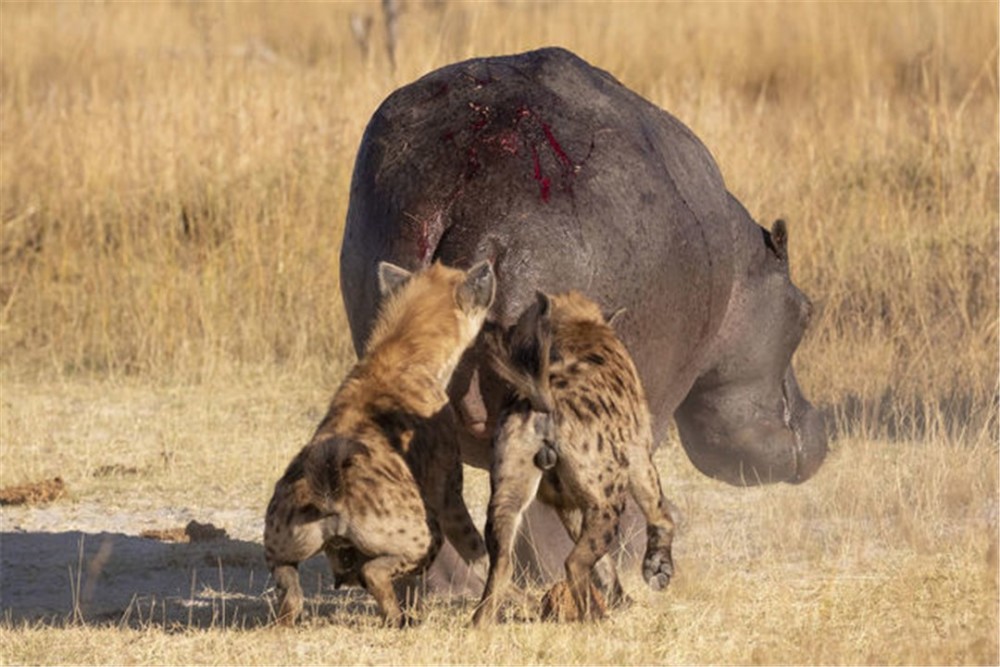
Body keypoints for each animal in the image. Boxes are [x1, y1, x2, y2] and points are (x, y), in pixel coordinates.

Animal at [266, 260, 496, 628]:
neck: (404, 350)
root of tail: (331, 492)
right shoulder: (446, 492)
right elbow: (476, 547)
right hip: (422, 531)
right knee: (376, 571)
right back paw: (397, 619)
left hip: (280, 543)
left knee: (288, 587)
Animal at [472, 292, 676, 628]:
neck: (578, 327)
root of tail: (544, 401)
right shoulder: (637, 451)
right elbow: (659, 510)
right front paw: (658, 570)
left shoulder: (566, 502)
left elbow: (603, 560)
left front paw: (623, 599)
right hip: (608, 498)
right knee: (574, 562)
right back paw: (594, 619)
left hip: (508, 489)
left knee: (501, 560)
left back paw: (480, 623)